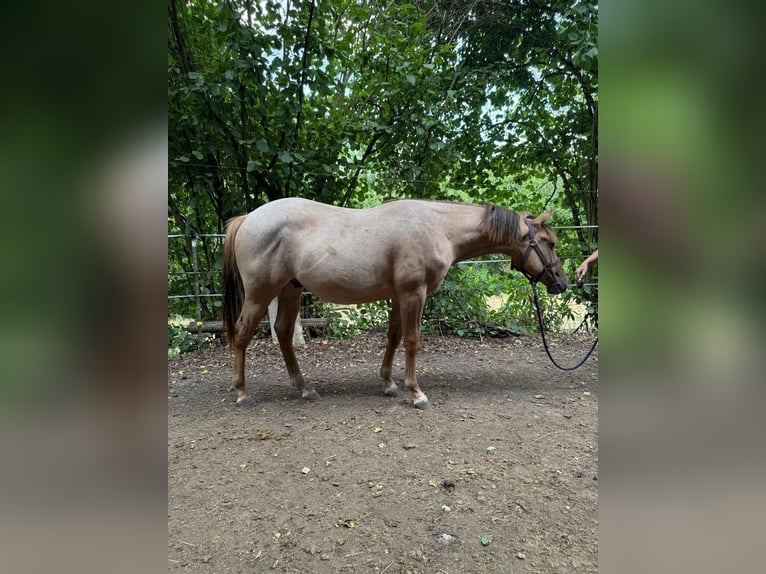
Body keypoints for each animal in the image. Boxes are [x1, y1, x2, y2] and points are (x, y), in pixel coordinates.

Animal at [223, 197, 567, 410]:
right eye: (549, 242)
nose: (562, 282)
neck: (437, 227)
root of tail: (248, 218)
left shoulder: (399, 295)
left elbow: (394, 336)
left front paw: (389, 383)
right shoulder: (414, 292)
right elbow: (412, 340)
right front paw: (416, 393)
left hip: (290, 290)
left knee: (282, 332)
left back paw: (304, 388)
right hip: (260, 294)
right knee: (241, 335)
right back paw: (242, 393)